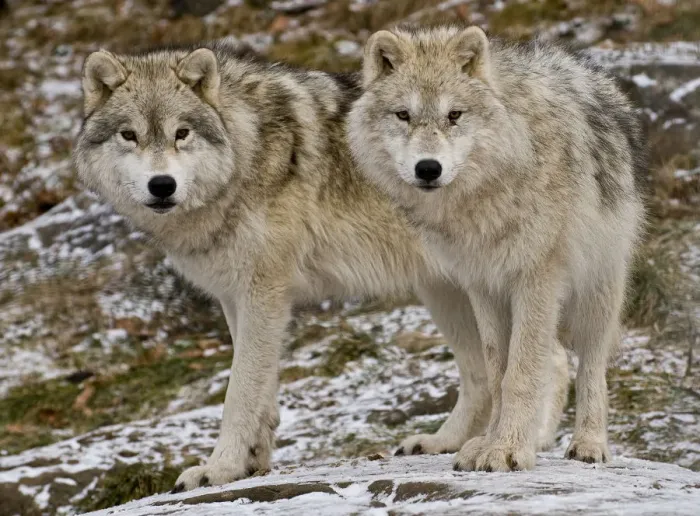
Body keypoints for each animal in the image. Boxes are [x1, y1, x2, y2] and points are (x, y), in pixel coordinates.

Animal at [74, 38, 568, 490]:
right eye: (129, 135)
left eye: (182, 133)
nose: (162, 185)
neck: (246, 151)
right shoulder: (236, 297)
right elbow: (261, 392)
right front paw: (251, 460)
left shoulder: (265, 293)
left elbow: (239, 392)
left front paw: (220, 468)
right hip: (445, 293)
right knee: (484, 373)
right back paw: (444, 441)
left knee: (551, 357)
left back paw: (524, 443)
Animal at [348, 25, 645, 472]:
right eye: (403, 115)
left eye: (455, 115)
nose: (428, 168)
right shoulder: (483, 285)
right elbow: (496, 372)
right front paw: (487, 443)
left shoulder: (536, 280)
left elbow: (521, 374)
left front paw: (508, 450)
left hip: (598, 293)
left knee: (592, 368)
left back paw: (589, 444)